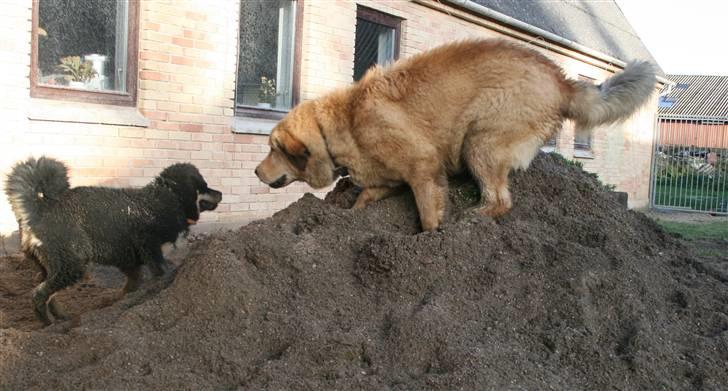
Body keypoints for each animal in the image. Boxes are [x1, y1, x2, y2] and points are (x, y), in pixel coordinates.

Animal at [4, 156, 220, 324]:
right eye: (203, 186)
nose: (221, 193)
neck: (167, 198)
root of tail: (40, 209)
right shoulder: (153, 253)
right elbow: (158, 277)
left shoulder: (130, 262)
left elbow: (131, 287)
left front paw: (121, 305)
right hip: (71, 266)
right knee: (39, 294)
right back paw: (49, 323)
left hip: (52, 266)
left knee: (47, 292)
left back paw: (62, 317)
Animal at [255, 38, 656, 231]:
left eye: (274, 149)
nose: (257, 172)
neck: (347, 120)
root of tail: (562, 82)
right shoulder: (389, 177)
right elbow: (365, 196)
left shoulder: (424, 167)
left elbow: (429, 216)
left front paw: (430, 240)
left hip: (479, 142)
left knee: (500, 200)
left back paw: (475, 217)